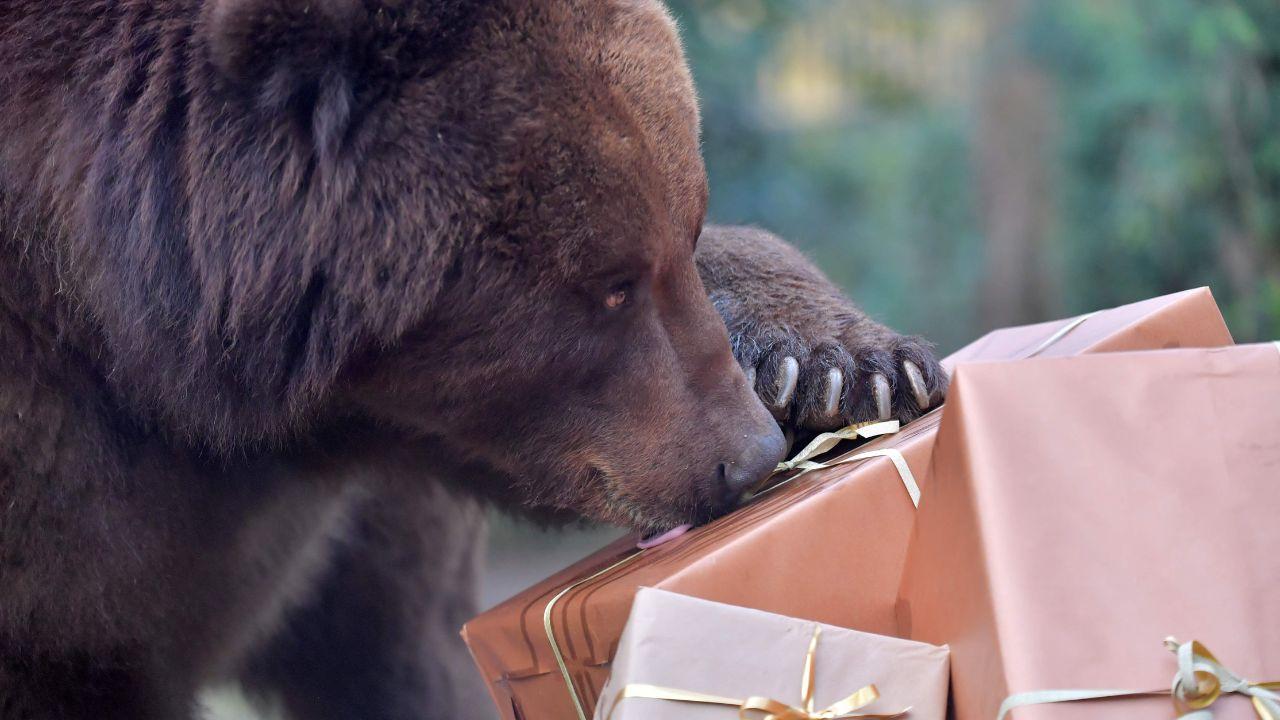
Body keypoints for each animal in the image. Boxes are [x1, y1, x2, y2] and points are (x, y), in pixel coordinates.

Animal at [0, 1, 947, 719]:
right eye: (608, 282)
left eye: (684, 228)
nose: (746, 455)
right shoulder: (63, 503)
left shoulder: (368, 487)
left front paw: (841, 368)